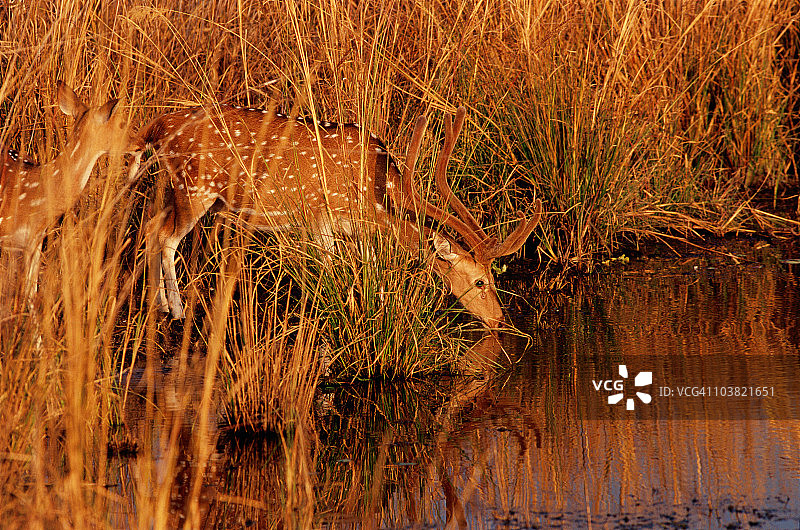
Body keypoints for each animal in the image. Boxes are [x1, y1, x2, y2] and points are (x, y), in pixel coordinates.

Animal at [133, 104, 542, 328]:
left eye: (495, 278)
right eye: (479, 282)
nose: (498, 320)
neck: (374, 201)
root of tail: (157, 126)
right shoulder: (320, 219)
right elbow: (333, 277)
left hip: (181, 191)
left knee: (150, 228)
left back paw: (157, 305)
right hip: (195, 187)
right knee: (166, 237)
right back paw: (176, 310)